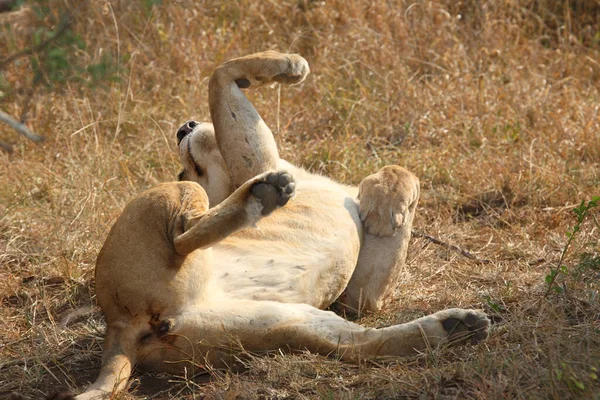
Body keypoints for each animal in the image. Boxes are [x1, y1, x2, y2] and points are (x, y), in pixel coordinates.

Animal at [69, 51, 492, 398]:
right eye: (184, 165)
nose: (183, 127)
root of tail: (118, 326)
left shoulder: (360, 298)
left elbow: (404, 176)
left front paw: (384, 208)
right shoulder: (257, 161)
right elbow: (220, 72)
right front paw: (291, 65)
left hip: (278, 323)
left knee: (362, 344)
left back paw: (459, 326)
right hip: (179, 197)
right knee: (183, 236)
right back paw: (262, 196)